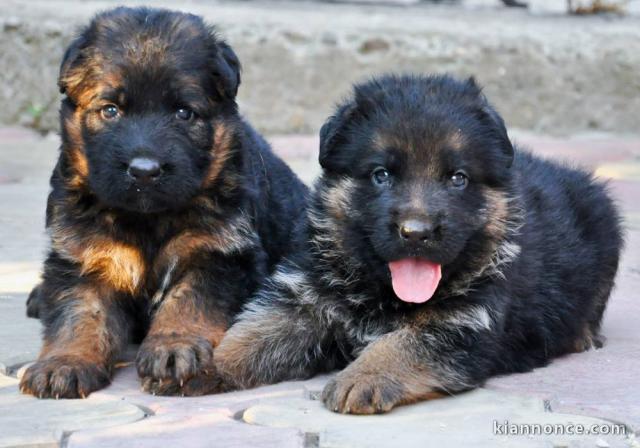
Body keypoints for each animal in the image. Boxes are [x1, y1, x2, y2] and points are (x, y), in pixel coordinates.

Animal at [21, 6, 306, 400]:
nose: (144, 170)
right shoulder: (84, 253)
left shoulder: (219, 253)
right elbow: (79, 313)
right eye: (110, 110)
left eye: (183, 113)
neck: (148, 220)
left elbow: (188, 302)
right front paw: (64, 363)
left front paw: (173, 348)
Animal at [208, 73, 624, 412]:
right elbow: (254, 333)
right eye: (381, 175)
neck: (382, 292)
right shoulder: (304, 299)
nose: (417, 233)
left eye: (457, 178)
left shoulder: (463, 326)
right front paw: (209, 364)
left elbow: (402, 344)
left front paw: (363, 376)